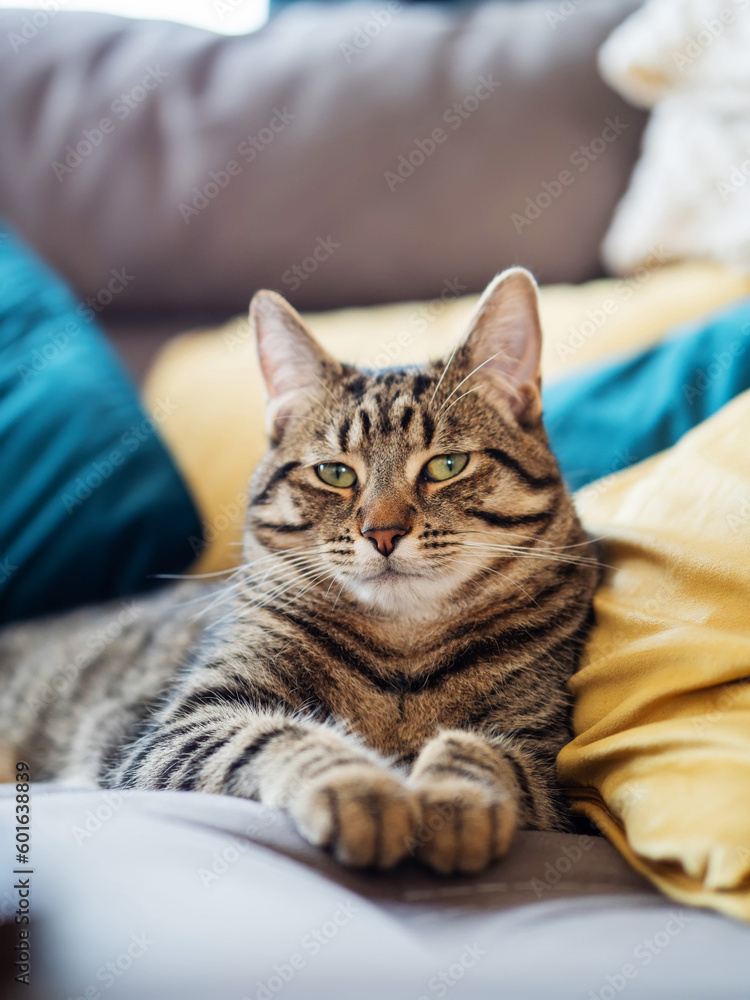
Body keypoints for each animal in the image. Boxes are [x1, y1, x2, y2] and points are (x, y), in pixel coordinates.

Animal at [0, 268, 600, 876]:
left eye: (446, 466)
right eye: (335, 473)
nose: (383, 533)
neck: (403, 656)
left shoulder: (547, 759)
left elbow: (483, 754)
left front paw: (453, 799)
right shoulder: (179, 728)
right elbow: (277, 735)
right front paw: (363, 787)